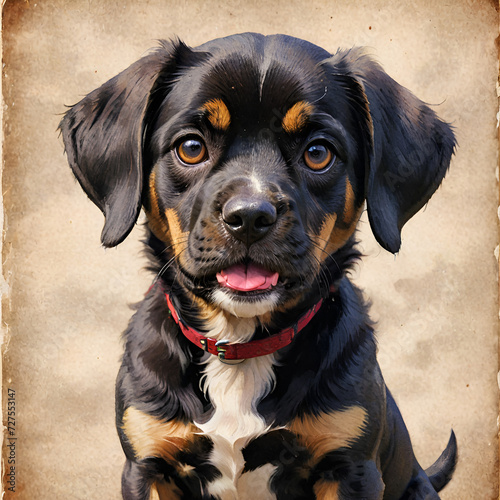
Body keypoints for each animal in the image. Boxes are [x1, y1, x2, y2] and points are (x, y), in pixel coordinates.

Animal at [59, 33, 458, 498]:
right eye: (191, 147)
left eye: (318, 152)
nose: (249, 216)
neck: (241, 346)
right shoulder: (148, 465)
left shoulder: (350, 467)